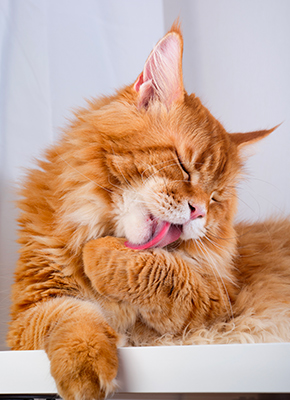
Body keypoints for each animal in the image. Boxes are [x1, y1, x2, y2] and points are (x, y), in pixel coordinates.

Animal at [6, 23, 290, 400]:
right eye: (184, 166)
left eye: (215, 198)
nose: (199, 212)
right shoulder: (30, 310)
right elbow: (71, 316)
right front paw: (85, 371)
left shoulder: (214, 302)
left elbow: (158, 269)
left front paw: (95, 254)